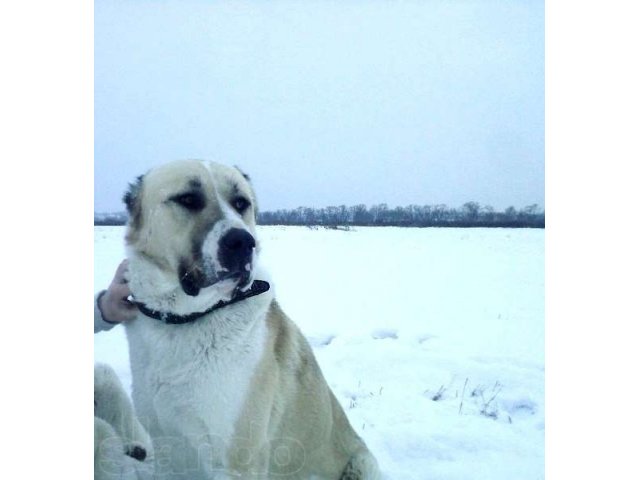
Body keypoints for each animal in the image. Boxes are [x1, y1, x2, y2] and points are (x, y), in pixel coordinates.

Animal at [120, 162, 380, 480]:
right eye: (188, 199)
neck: (186, 319)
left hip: (363, 464)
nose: (243, 241)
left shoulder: (239, 460)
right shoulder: (169, 450)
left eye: (241, 203)